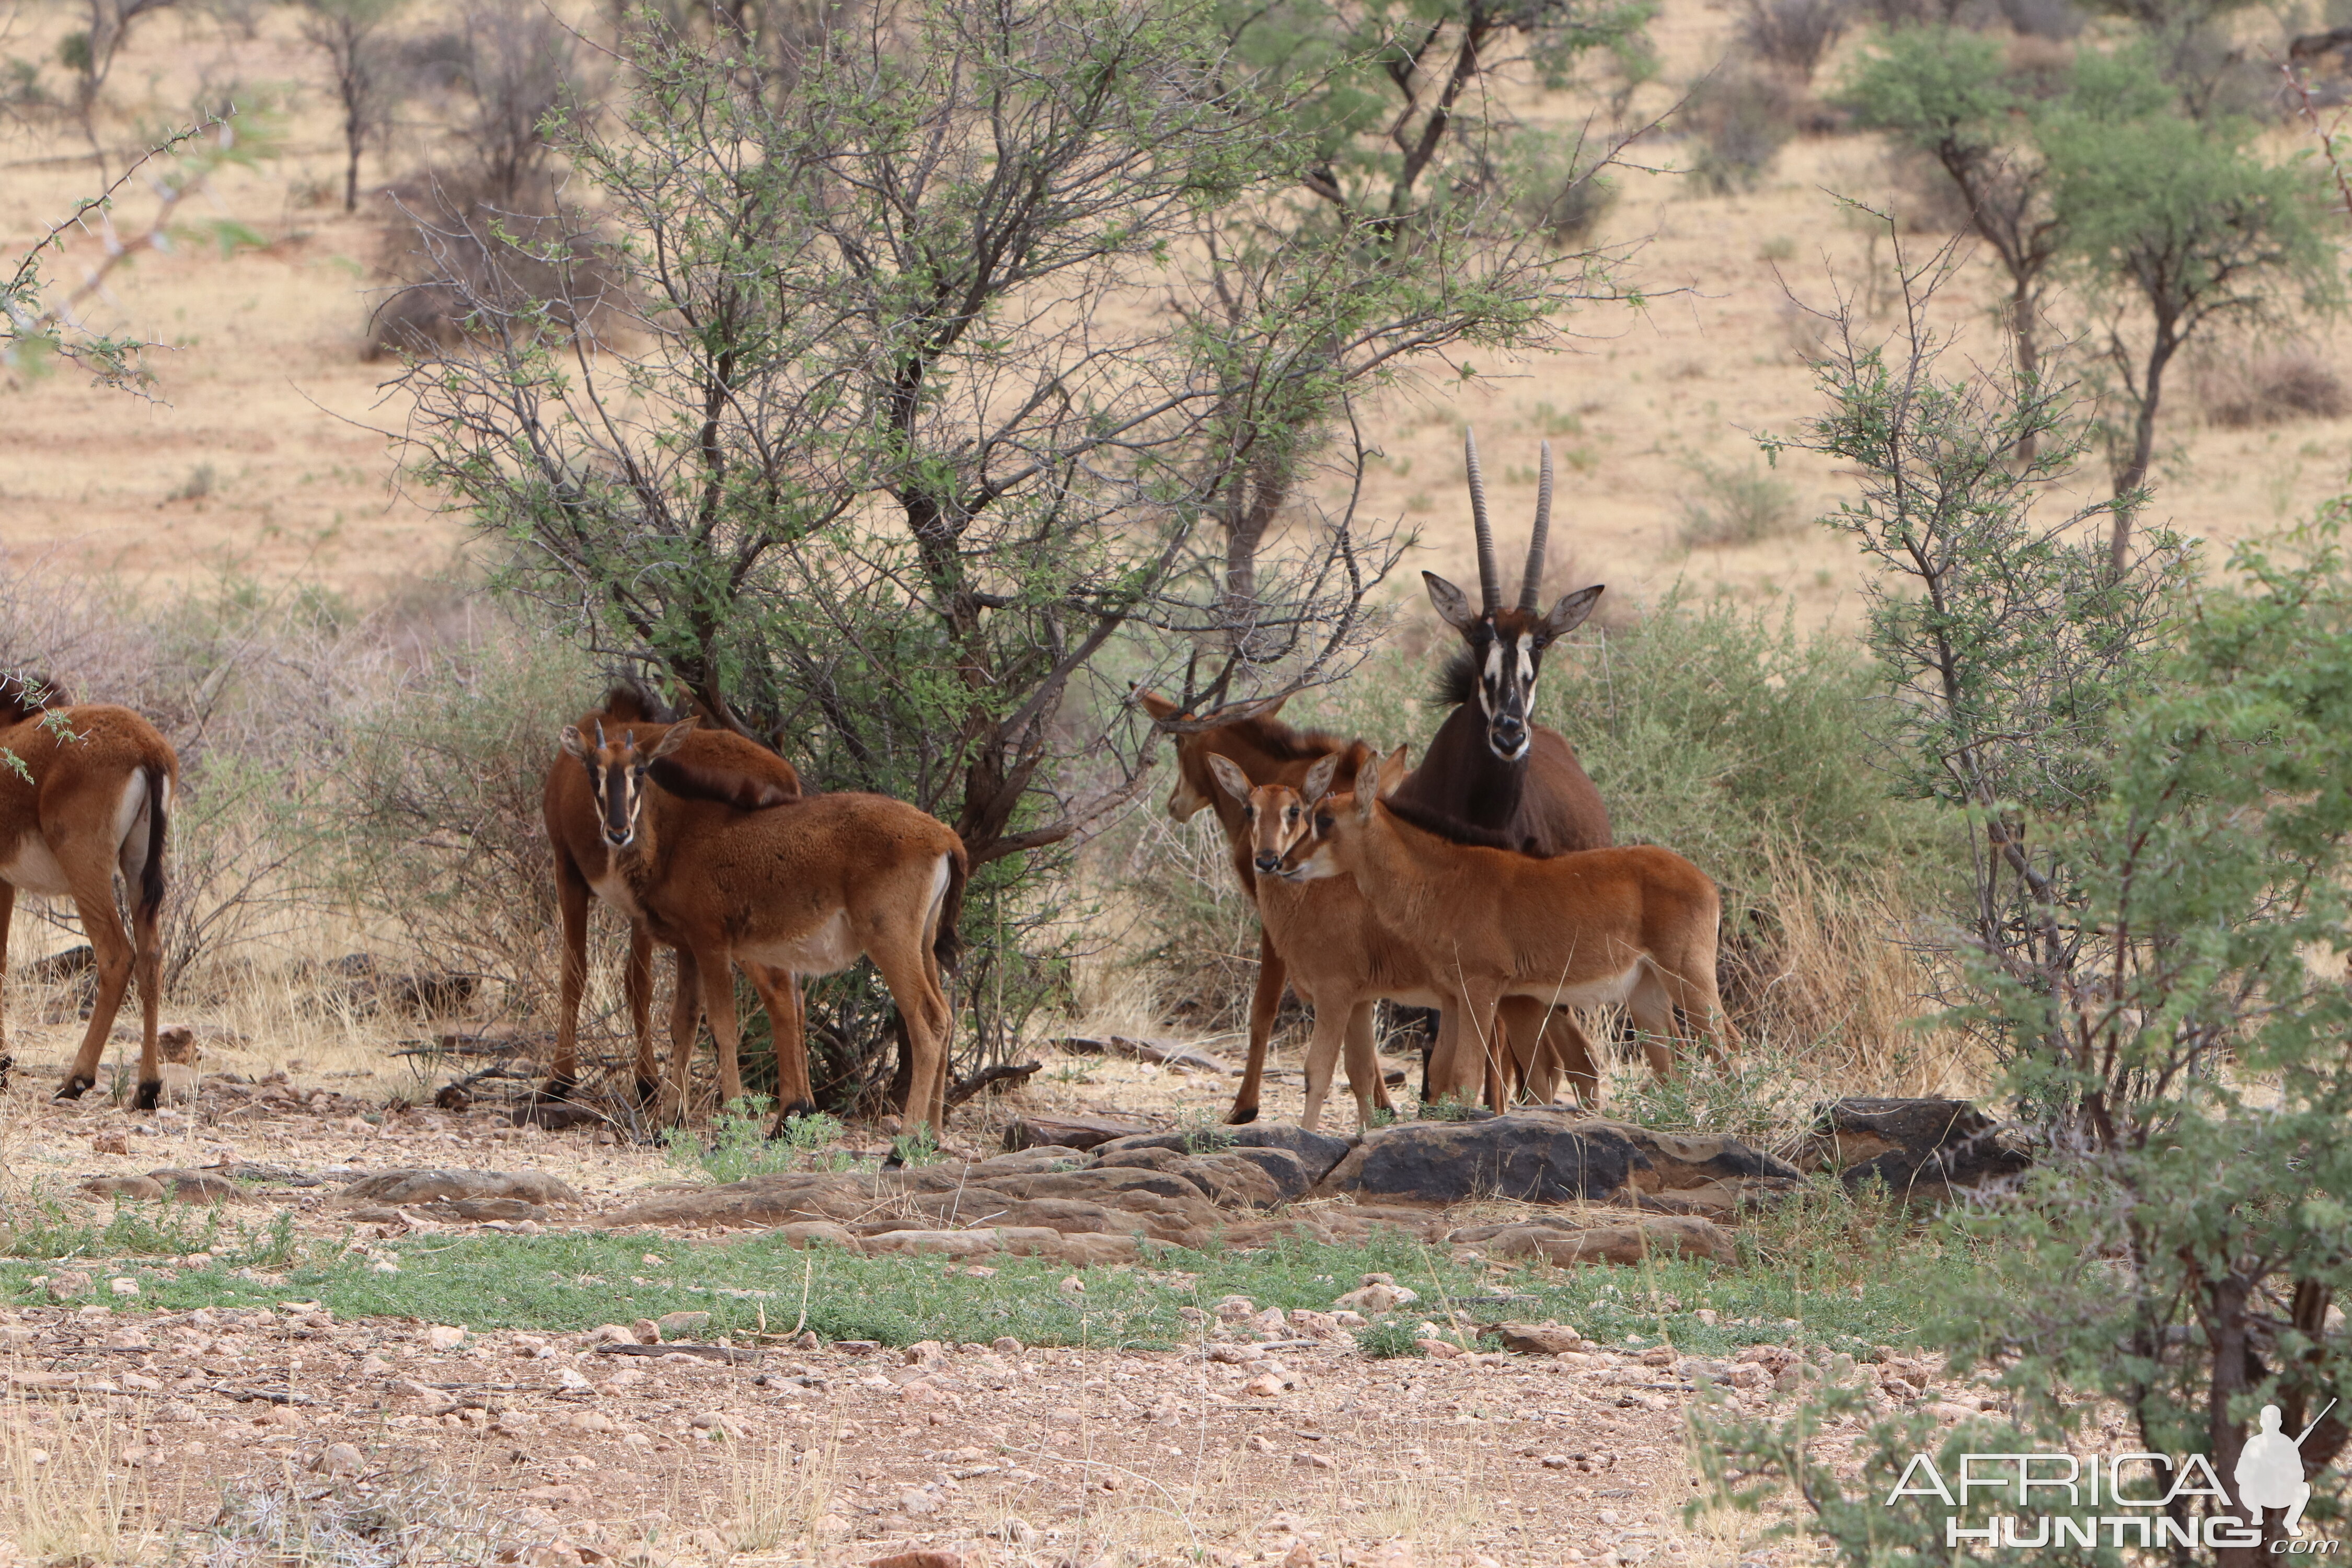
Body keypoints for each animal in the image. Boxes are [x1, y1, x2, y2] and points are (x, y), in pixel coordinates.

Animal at [0, 682, 179, 1109]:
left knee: (117, 955)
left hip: (85, 865)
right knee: (151, 955)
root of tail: (147, 748)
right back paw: (147, 1089)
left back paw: (76, 1079)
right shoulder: (6, 880)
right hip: (137, 868)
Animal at [543, 686, 809, 1114]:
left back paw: (789, 1106)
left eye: (640, 774)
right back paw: (803, 1102)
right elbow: (641, 982)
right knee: (796, 990)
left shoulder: (566, 867)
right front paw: (650, 1084)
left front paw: (560, 1079)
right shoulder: (647, 907)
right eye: (593, 774)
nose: (617, 831)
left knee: (778, 988)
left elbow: (575, 971)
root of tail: (785, 782)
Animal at [560, 724, 964, 1142]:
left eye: (639, 771)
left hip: (890, 939)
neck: (679, 836)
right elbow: (682, 1026)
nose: (617, 831)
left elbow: (723, 1028)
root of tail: (944, 837)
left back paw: (905, 1144)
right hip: (923, 942)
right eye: (593, 770)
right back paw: (932, 1138)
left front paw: (732, 1123)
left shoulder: (712, 944)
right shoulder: (688, 949)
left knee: (928, 1021)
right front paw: (668, 1124)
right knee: (947, 1016)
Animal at [1214, 752, 1581, 1128]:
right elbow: (1360, 1073)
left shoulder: (1334, 993)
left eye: (1295, 810)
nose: (1268, 860)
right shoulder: (1360, 1001)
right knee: (1558, 1062)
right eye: (1249, 809)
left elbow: (1318, 1071)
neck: (1312, 896)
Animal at [1279, 747, 1740, 1104]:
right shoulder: (1456, 996)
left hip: (1688, 976)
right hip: (1647, 991)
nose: (1283, 863)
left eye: (1325, 820)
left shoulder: (1481, 988)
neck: (1443, 879)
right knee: (1671, 1065)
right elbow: (1450, 1074)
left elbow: (1465, 1075)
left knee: (1727, 1045)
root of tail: (1706, 883)